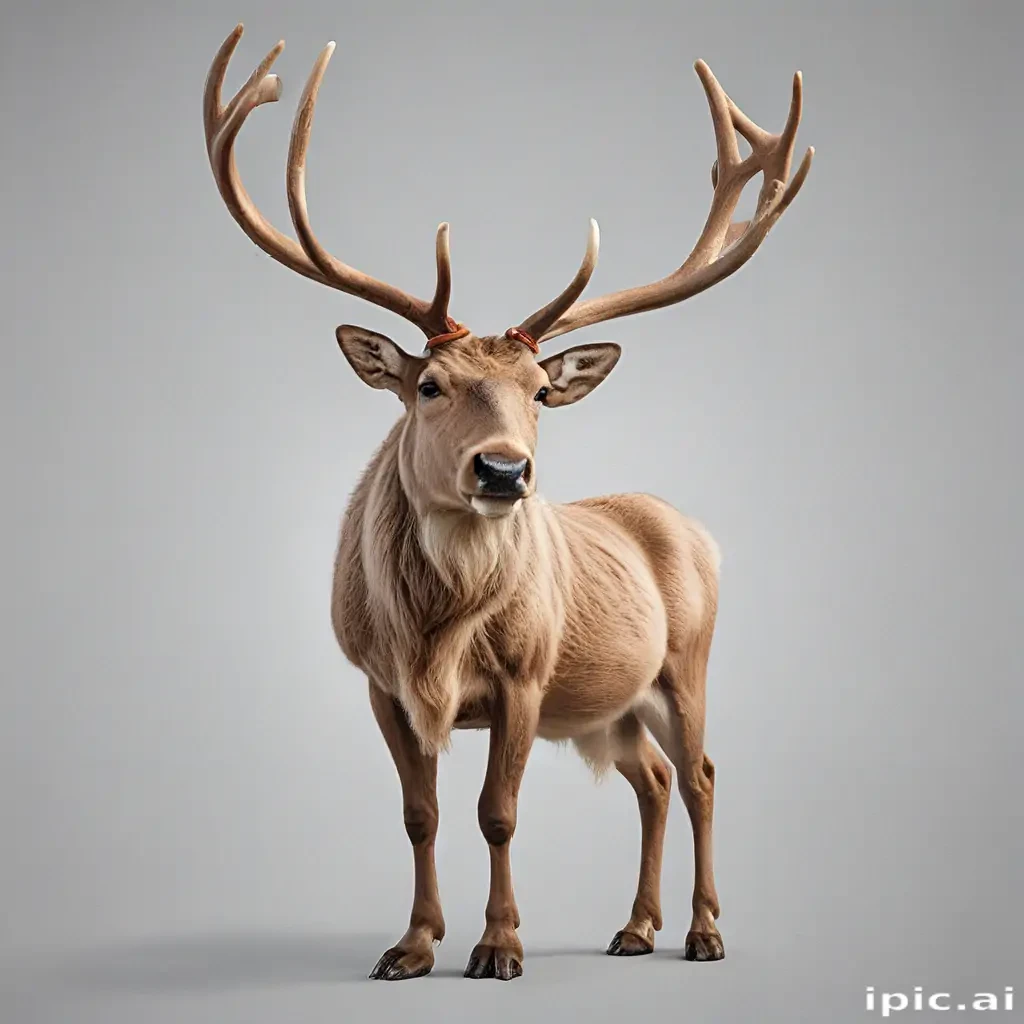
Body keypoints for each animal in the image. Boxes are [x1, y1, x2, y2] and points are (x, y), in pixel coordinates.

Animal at [203, 23, 812, 982]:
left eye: (538, 390)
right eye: (429, 386)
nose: (502, 471)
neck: (433, 633)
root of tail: (694, 528)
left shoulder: (526, 674)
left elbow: (498, 813)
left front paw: (498, 946)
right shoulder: (375, 679)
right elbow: (419, 814)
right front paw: (411, 945)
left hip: (688, 660)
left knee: (703, 774)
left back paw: (705, 932)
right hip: (610, 705)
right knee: (654, 780)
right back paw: (634, 928)